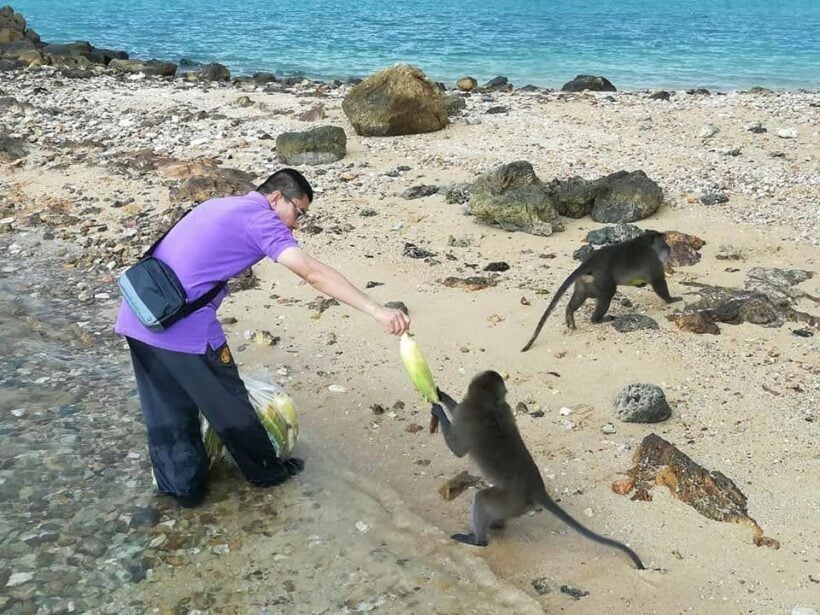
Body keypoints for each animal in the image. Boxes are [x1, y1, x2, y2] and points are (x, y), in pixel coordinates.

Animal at [430, 370, 648, 568]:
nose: (506, 393)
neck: (487, 404)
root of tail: (536, 488)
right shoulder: (501, 408)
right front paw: (442, 396)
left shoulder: (466, 414)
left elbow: (457, 449)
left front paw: (439, 410)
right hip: (516, 505)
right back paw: (496, 525)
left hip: (511, 500)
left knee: (482, 499)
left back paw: (479, 541)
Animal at [524, 230, 684, 352]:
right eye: (664, 243)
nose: (669, 249)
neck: (644, 243)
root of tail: (588, 263)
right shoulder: (653, 263)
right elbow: (659, 282)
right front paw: (671, 299)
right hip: (602, 279)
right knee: (607, 295)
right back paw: (598, 319)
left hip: (584, 282)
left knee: (580, 296)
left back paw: (570, 313)